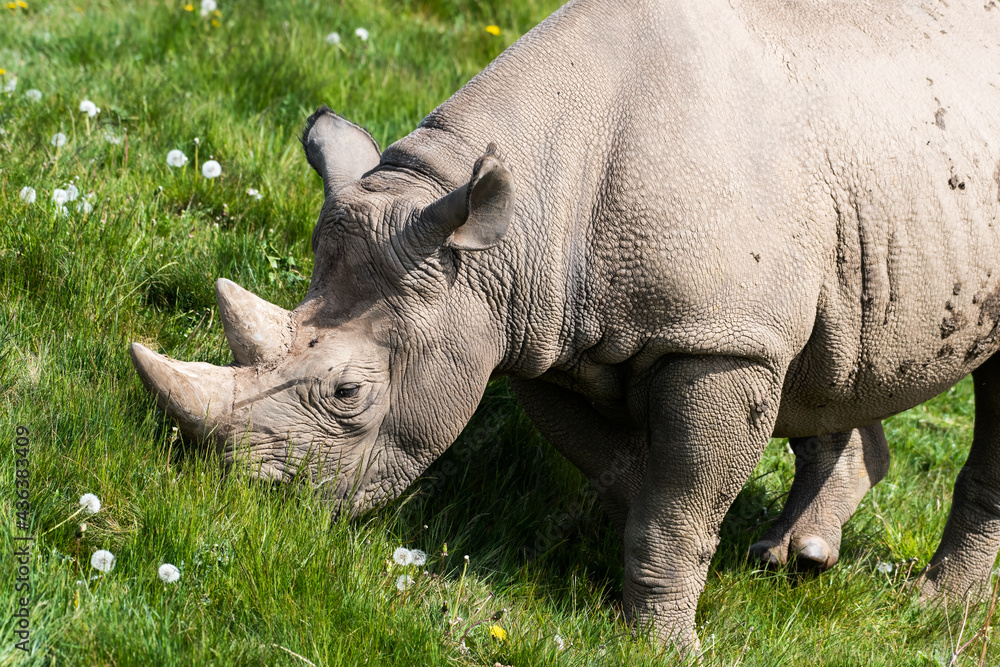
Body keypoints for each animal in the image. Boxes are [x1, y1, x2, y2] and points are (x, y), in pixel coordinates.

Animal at [130, 0, 1000, 650]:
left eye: (349, 392)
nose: (251, 499)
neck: (501, 237)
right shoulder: (535, 331)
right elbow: (626, 470)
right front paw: (623, 574)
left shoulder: (717, 340)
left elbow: (680, 498)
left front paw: (663, 642)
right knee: (830, 357)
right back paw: (802, 555)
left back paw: (932, 607)